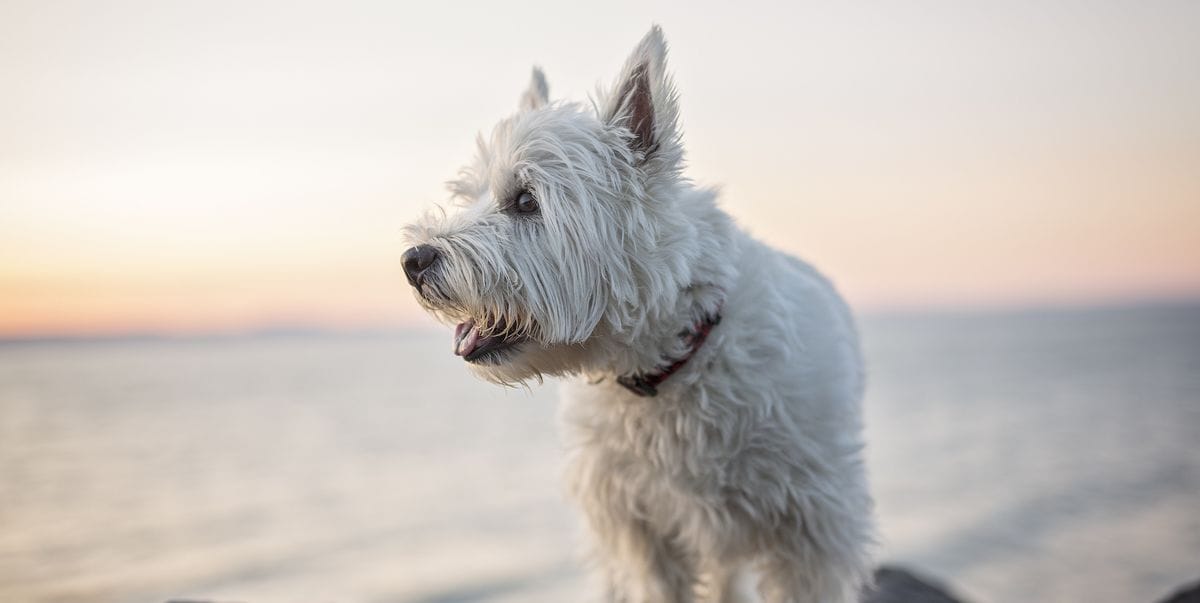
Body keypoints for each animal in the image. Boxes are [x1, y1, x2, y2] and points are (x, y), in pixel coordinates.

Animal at [403, 25, 873, 600]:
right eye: (470, 196)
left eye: (526, 201)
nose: (413, 260)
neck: (665, 368)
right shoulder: (638, 529)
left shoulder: (810, 531)